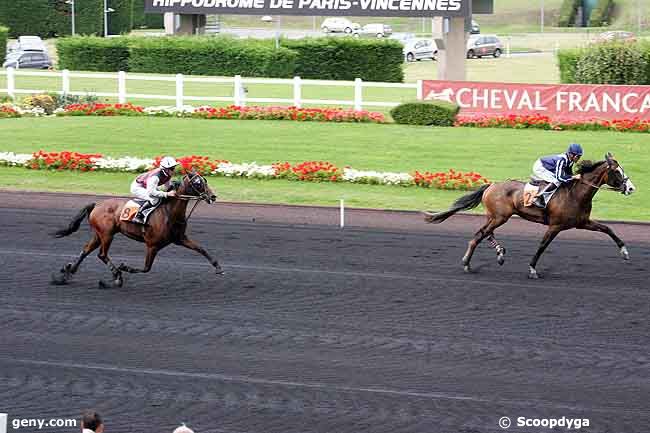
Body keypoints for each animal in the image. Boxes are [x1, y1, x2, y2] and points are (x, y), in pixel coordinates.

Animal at [51, 171, 223, 286]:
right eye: (198, 183)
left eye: (205, 180)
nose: (213, 197)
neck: (169, 213)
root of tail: (96, 204)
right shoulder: (152, 245)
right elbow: (146, 268)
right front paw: (124, 267)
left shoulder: (180, 239)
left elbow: (201, 249)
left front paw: (218, 268)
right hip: (107, 235)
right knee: (102, 254)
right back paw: (117, 276)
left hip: (99, 234)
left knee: (86, 250)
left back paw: (67, 272)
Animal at [426, 154, 632, 278]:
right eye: (617, 171)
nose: (631, 188)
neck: (575, 194)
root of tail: (491, 185)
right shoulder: (555, 226)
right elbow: (542, 246)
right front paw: (532, 269)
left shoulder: (581, 222)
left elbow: (607, 228)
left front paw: (624, 252)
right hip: (500, 217)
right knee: (479, 235)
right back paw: (467, 263)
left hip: (495, 216)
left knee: (486, 232)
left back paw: (500, 253)